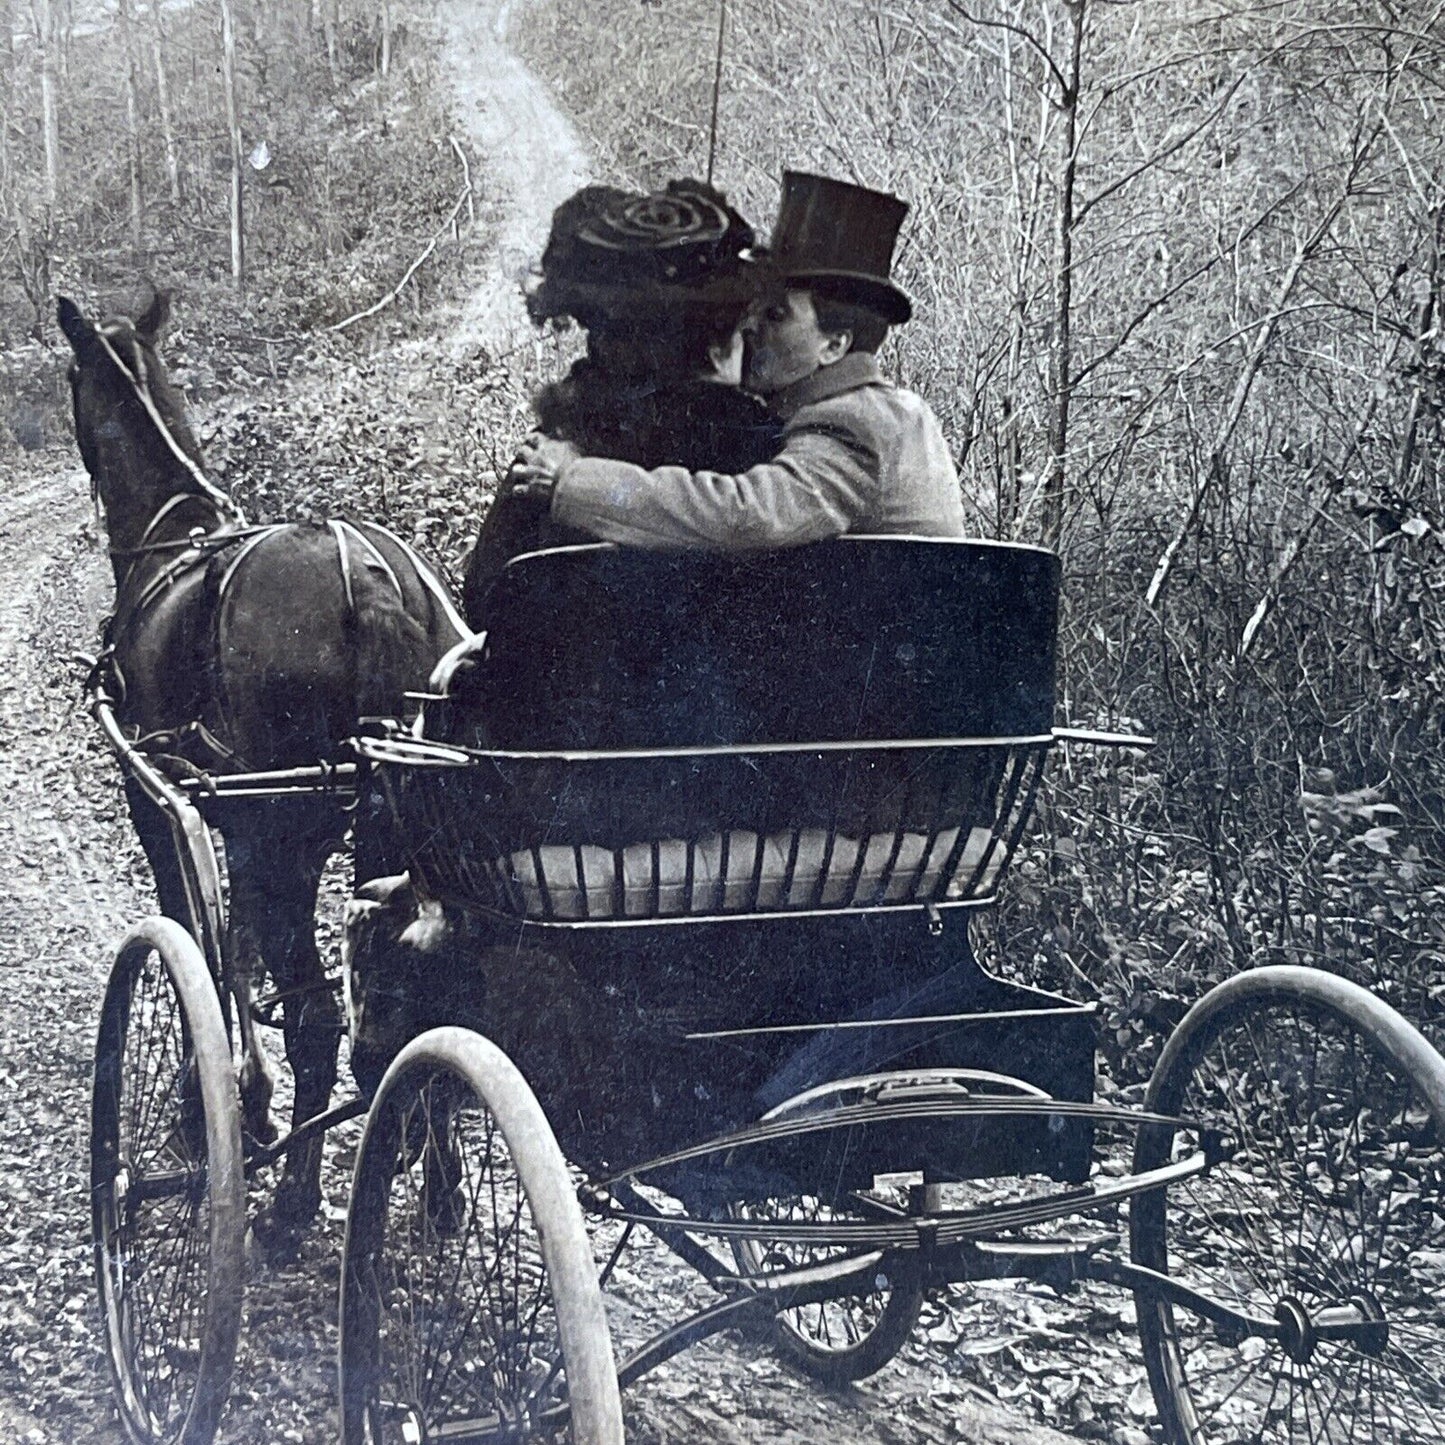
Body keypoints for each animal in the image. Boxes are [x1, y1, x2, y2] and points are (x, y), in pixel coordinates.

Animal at [62, 293, 468, 1242]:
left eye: (68, 378)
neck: (170, 539)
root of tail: (368, 576)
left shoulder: (165, 805)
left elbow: (205, 941)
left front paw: (215, 1104)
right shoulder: (239, 823)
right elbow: (239, 947)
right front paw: (249, 1096)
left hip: (292, 833)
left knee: (318, 1015)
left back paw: (291, 1202)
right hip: (390, 818)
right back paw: (436, 1184)